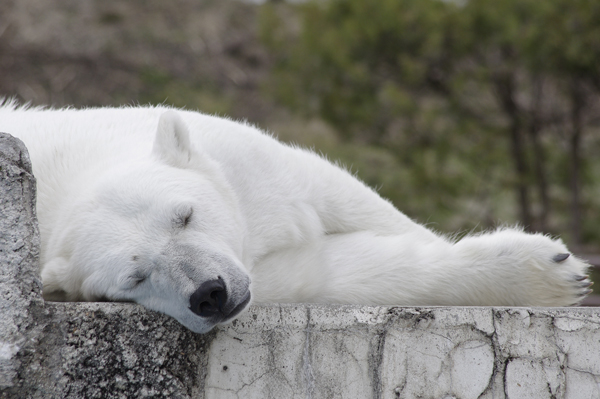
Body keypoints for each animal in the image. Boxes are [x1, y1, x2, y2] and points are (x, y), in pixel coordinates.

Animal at [0, 103, 592, 334]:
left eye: (184, 215)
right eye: (134, 277)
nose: (210, 292)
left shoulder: (250, 163)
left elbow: (347, 201)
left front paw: (556, 268)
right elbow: (326, 272)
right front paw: (550, 272)